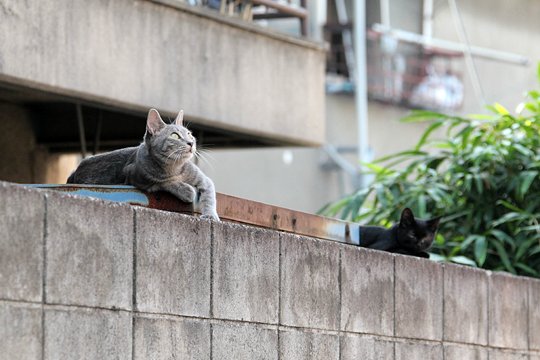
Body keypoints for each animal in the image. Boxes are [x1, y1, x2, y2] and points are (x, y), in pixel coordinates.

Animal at [67, 107, 219, 219]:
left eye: (189, 134)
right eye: (175, 135)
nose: (191, 142)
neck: (173, 168)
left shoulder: (204, 180)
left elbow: (209, 196)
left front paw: (210, 216)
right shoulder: (134, 175)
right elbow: (162, 182)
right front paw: (185, 190)